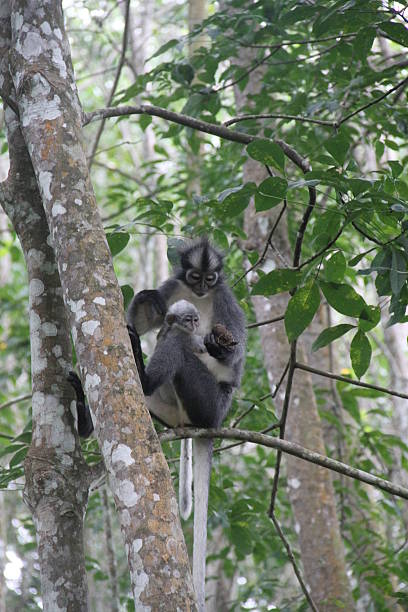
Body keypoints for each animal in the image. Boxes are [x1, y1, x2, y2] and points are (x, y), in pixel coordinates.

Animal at [127, 234, 245, 608]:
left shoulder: (224, 298)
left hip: (209, 403)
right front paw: (145, 299)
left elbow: (235, 352)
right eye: (194, 277)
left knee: (179, 347)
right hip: (169, 408)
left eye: (211, 278)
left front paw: (220, 346)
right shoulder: (174, 287)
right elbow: (143, 319)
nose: (203, 288)